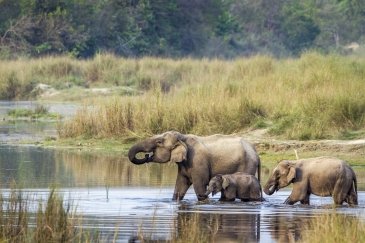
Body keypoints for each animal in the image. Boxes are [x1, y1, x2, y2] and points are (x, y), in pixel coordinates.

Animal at [127, 131, 258, 201]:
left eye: (159, 142)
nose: (146, 156)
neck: (183, 137)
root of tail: (255, 150)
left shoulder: (198, 162)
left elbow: (200, 185)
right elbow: (180, 186)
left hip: (247, 165)